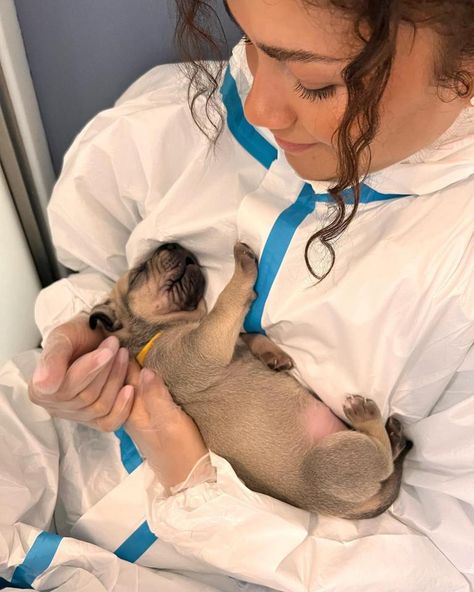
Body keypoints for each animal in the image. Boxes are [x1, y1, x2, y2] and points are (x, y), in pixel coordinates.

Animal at [90, 242, 412, 520]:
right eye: (138, 274)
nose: (170, 244)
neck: (158, 331)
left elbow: (247, 334)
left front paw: (273, 355)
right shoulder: (202, 346)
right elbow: (226, 303)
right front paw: (241, 267)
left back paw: (393, 436)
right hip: (330, 461)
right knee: (382, 460)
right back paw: (367, 416)